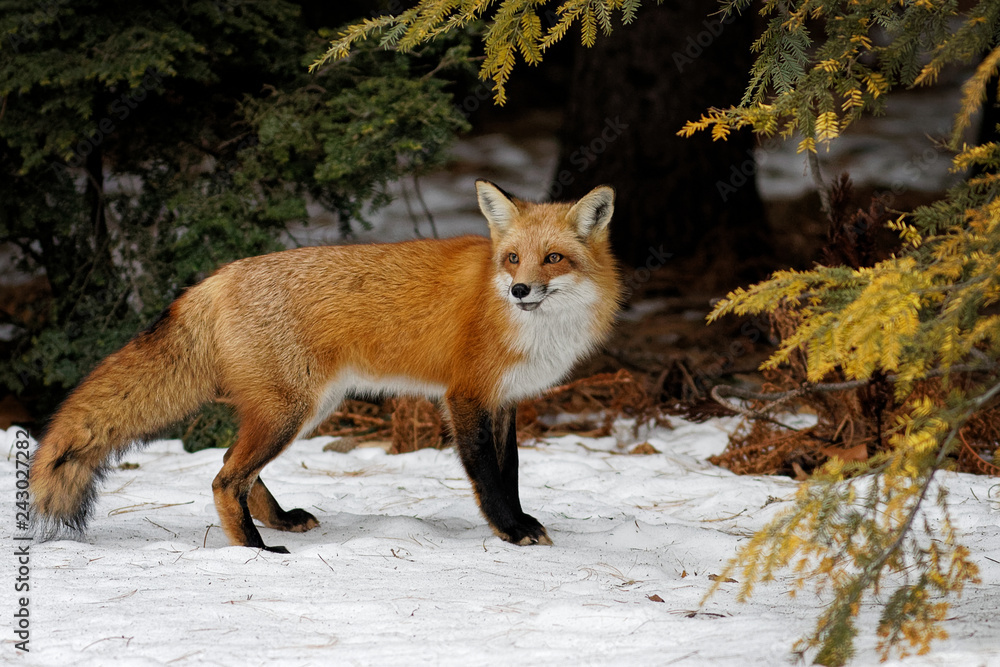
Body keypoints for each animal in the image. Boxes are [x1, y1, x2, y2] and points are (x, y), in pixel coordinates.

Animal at [29, 180, 622, 553]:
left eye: (553, 258)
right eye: (512, 259)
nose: (520, 290)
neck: (531, 327)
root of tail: (218, 277)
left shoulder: (505, 400)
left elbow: (512, 472)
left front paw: (521, 522)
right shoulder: (466, 397)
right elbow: (488, 477)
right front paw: (511, 531)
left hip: (303, 410)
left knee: (231, 465)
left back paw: (278, 521)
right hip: (291, 411)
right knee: (225, 478)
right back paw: (256, 549)